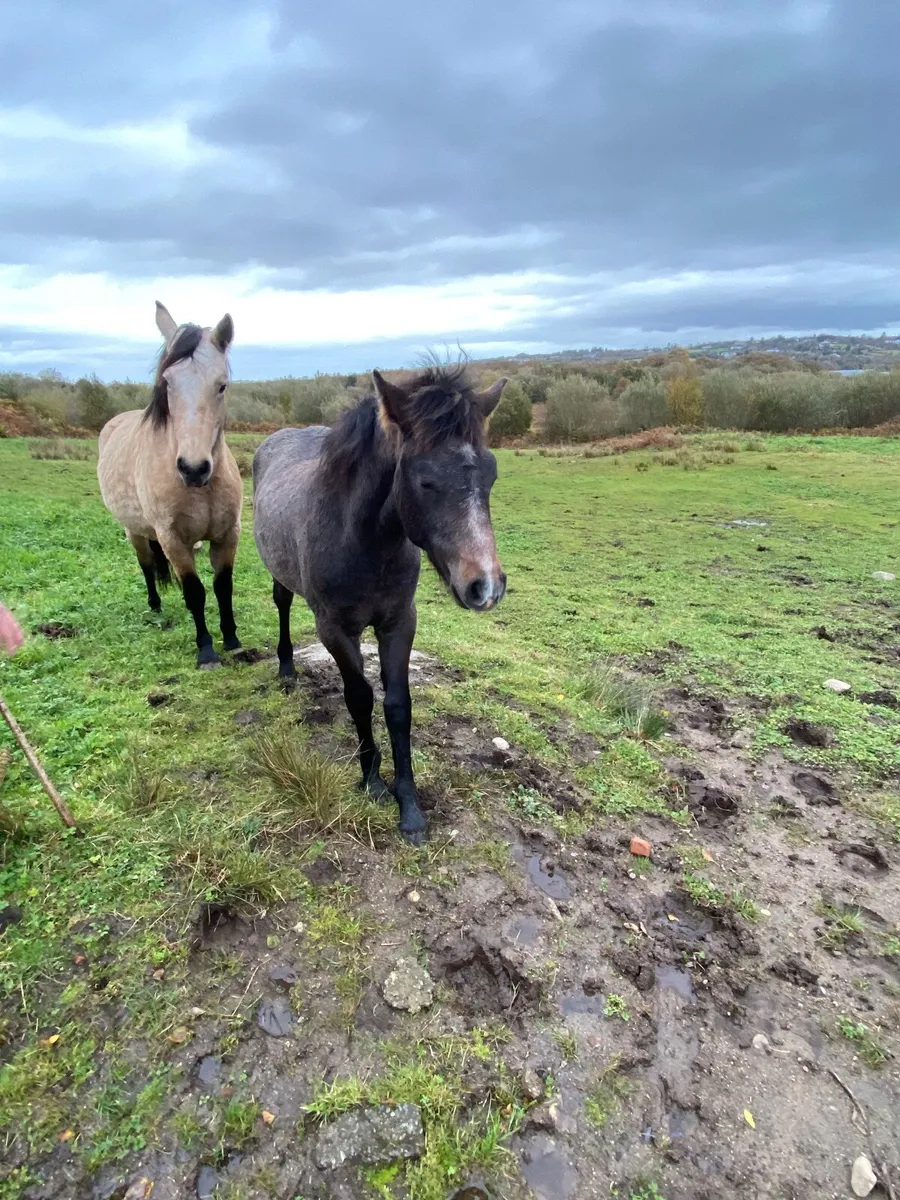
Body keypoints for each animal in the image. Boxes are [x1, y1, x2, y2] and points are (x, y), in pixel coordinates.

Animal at [97, 302, 243, 669]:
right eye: (167, 383)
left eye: (221, 385)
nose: (193, 468)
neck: (202, 489)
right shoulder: (173, 539)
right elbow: (194, 591)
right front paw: (206, 650)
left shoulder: (227, 534)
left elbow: (223, 586)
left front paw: (232, 640)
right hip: (135, 531)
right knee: (146, 566)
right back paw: (155, 606)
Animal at [252, 363, 508, 844]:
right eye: (425, 480)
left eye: (491, 475)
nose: (485, 587)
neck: (364, 541)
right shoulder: (336, 629)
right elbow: (359, 698)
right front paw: (371, 780)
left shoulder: (399, 622)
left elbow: (397, 706)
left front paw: (409, 805)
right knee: (282, 604)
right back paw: (287, 668)